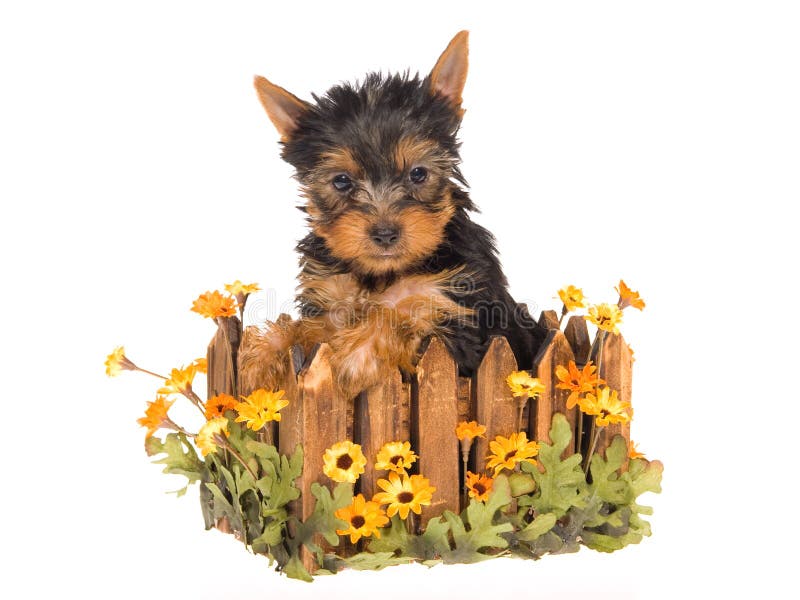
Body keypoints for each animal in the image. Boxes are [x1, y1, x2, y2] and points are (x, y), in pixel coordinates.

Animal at [241, 32, 548, 398]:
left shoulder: (455, 315)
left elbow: (400, 314)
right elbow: (311, 328)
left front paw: (353, 361)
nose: (385, 233)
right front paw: (264, 354)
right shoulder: (332, 301)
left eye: (418, 174)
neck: (381, 275)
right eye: (341, 181)